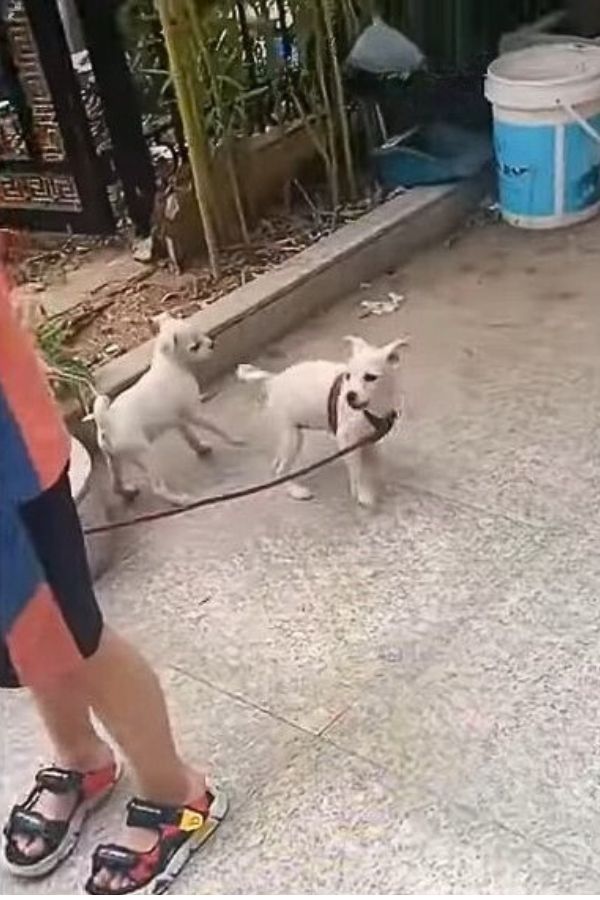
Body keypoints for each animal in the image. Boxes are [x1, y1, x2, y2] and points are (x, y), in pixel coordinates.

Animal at [88, 312, 241, 502]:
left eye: (201, 334)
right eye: (194, 347)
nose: (212, 344)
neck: (171, 363)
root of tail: (107, 422)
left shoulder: (180, 420)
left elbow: (190, 436)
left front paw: (200, 448)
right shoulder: (193, 413)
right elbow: (215, 426)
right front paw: (233, 439)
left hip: (114, 460)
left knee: (115, 485)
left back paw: (127, 492)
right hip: (148, 455)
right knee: (158, 489)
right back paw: (179, 499)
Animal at [238, 336, 408, 506]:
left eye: (370, 377)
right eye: (348, 376)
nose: (349, 396)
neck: (373, 406)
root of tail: (274, 379)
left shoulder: (370, 440)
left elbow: (375, 465)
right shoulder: (347, 442)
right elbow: (357, 471)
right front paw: (362, 493)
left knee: (277, 464)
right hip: (292, 437)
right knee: (281, 469)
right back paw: (294, 490)